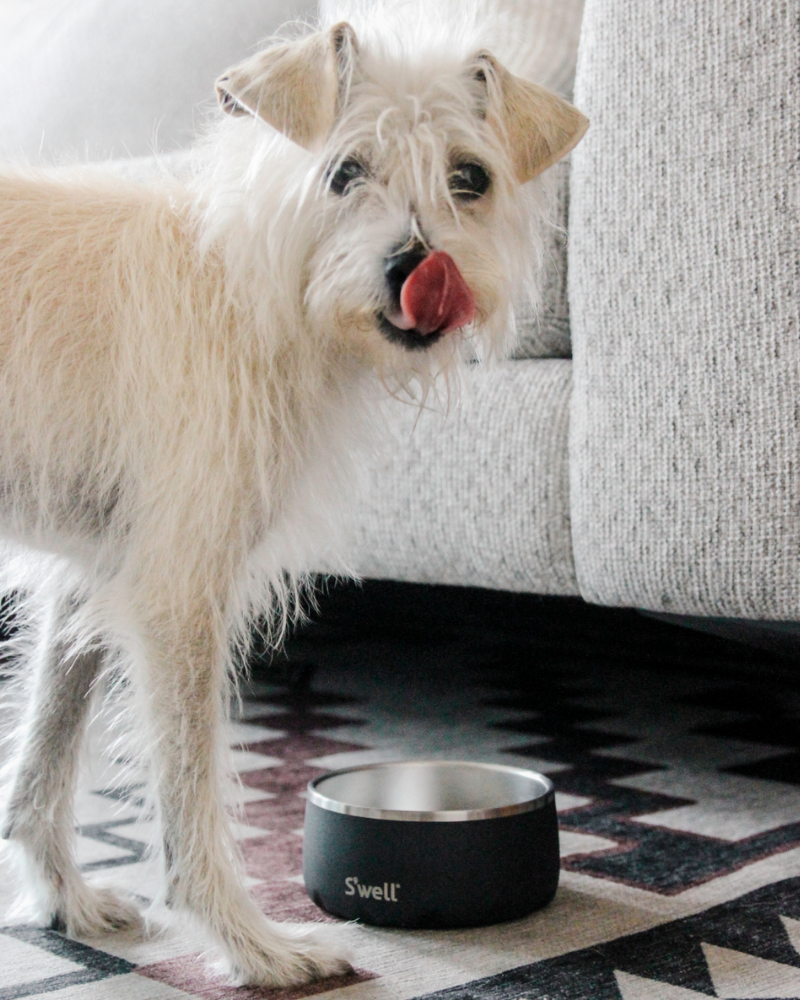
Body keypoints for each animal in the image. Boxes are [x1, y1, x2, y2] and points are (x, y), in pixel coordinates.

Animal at [0, 0, 588, 984]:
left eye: (469, 178)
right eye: (345, 171)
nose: (418, 271)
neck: (250, 277)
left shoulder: (93, 575)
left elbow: (44, 758)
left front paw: (62, 899)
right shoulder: (177, 597)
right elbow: (191, 796)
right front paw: (251, 945)